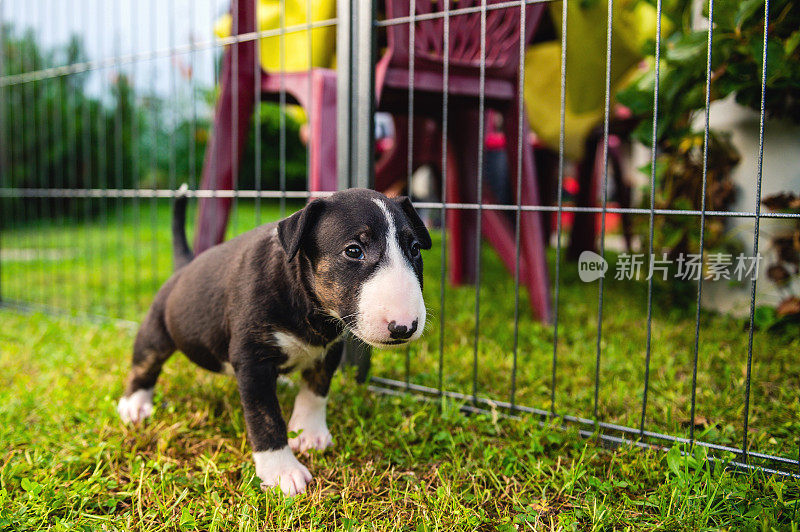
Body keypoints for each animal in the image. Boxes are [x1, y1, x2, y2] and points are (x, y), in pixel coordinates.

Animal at [117, 187, 432, 494]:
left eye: (415, 249)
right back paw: (134, 405)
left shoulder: (330, 349)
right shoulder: (252, 359)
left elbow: (316, 391)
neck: (305, 300)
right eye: (354, 251)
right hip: (157, 328)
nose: (405, 327)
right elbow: (264, 416)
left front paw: (309, 434)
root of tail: (185, 267)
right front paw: (283, 473)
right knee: (144, 363)